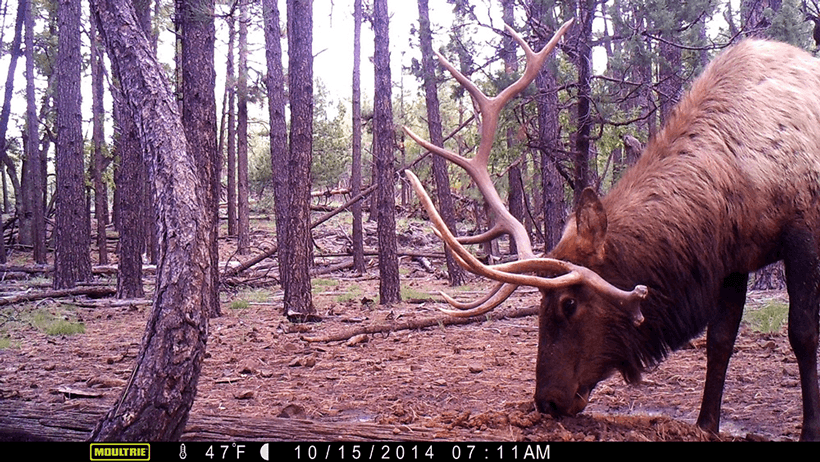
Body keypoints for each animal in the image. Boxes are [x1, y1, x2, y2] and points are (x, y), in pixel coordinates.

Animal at [403, 20, 820, 441]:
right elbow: (719, 339)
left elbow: (802, 332)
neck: (737, 182)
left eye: (569, 303)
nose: (546, 401)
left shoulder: (803, 231)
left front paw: (809, 429)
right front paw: (706, 424)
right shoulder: (733, 257)